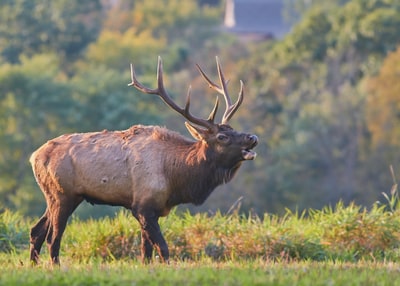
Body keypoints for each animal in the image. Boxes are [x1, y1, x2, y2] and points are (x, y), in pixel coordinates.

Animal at [29, 57, 258, 264]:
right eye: (222, 137)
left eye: (233, 129)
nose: (252, 137)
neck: (176, 178)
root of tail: (34, 157)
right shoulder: (143, 205)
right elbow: (163, 249)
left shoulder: (149, 209)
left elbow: (145, 252)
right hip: (62, 194)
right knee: (52, 237)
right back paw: (55, 266)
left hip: (60, 195)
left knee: (36, 230)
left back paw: (33, 264)